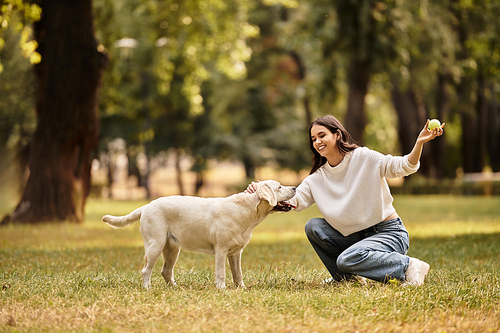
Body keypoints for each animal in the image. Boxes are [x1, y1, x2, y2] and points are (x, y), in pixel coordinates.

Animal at [102, 179, 296, 288]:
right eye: (279, 187)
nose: (295, 187)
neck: (247, 210)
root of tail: (146, 206)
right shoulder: (221, 250)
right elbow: (221, 273)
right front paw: (221, 288)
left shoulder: (235, 253)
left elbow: (238, 273)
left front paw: (241, 288)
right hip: (155, 245)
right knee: (145, 270)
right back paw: (147, 287)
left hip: (172, 248)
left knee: (166, 271)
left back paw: (175, 288)